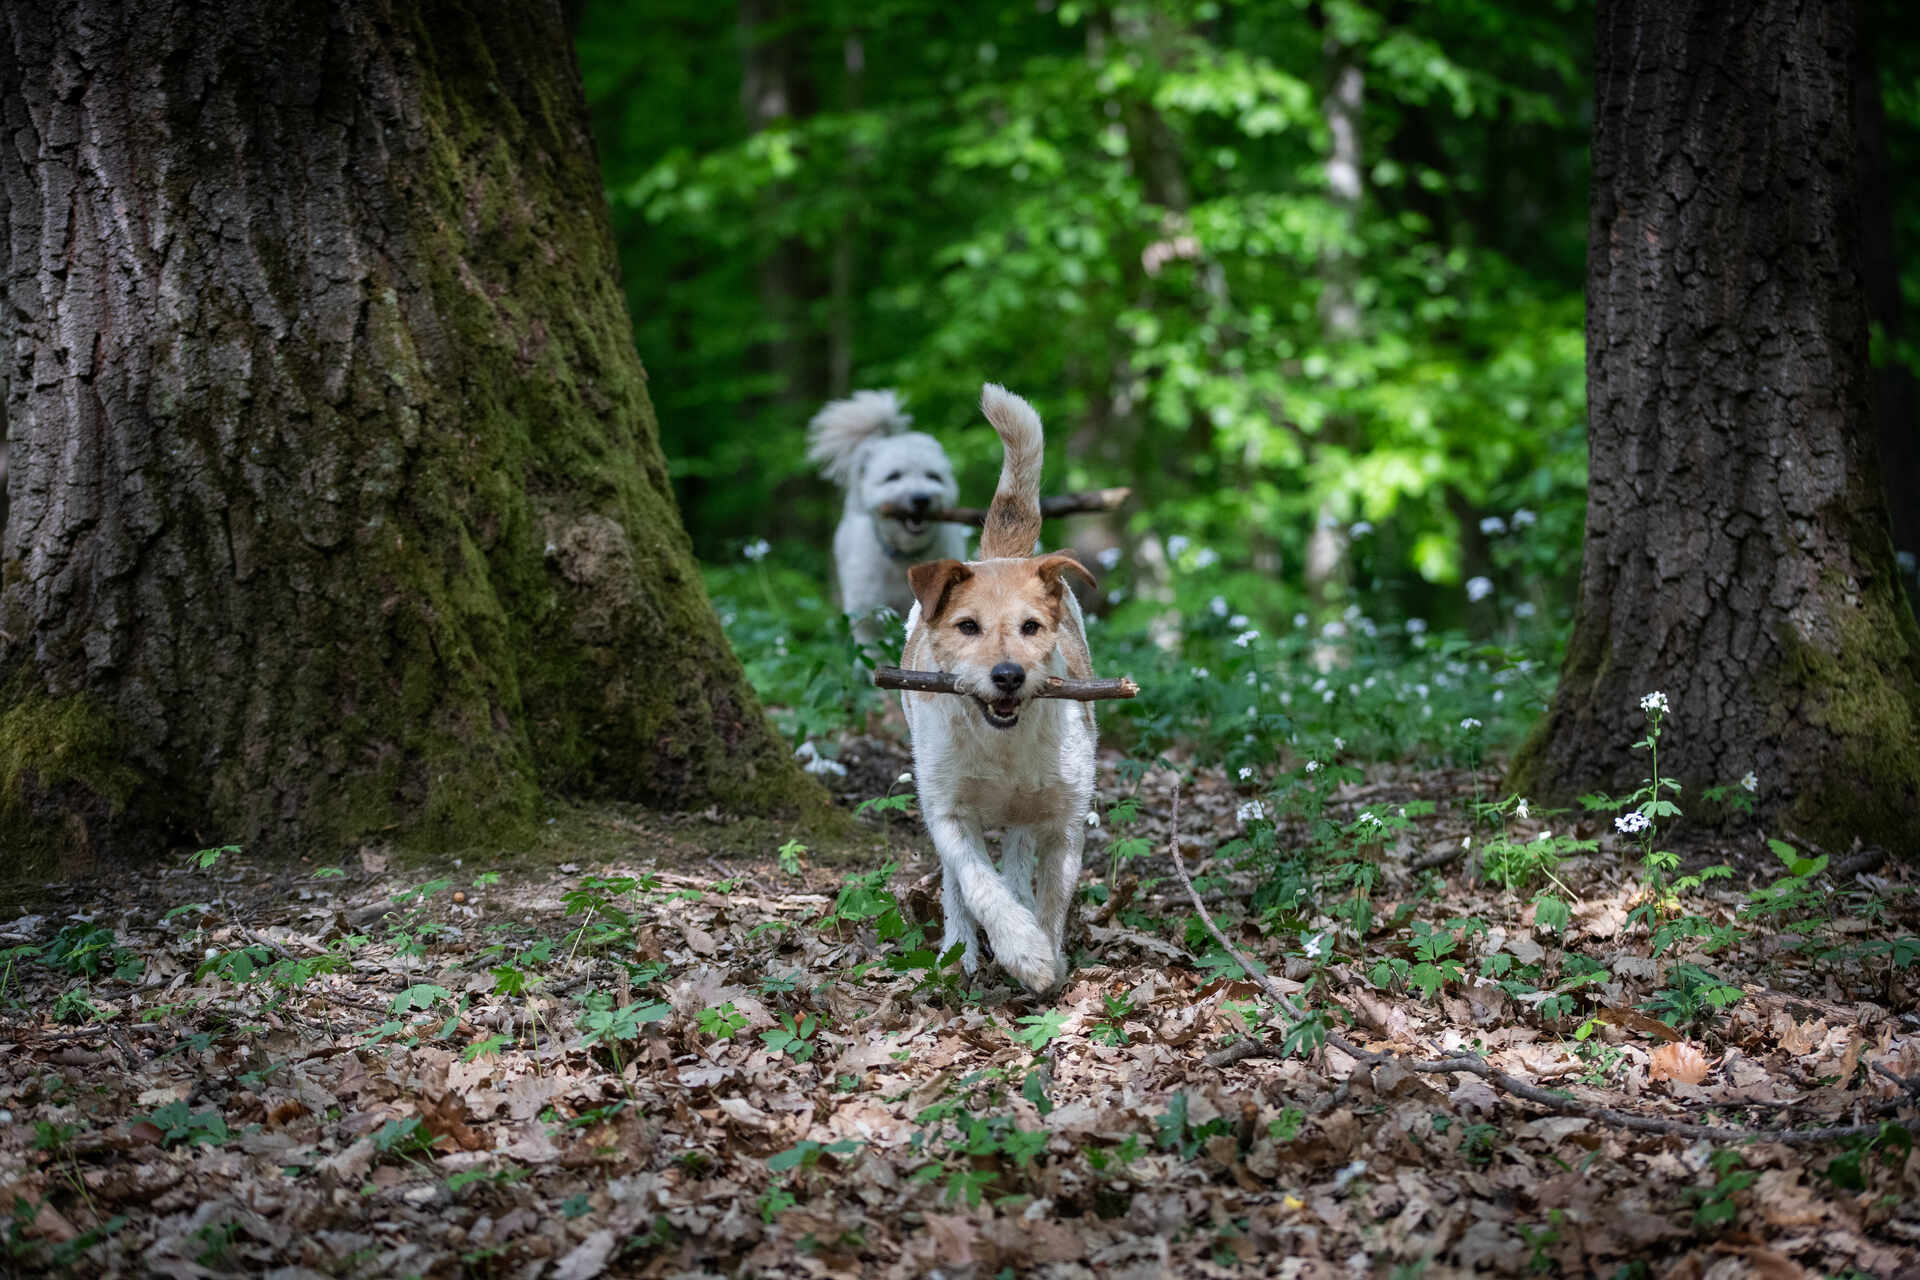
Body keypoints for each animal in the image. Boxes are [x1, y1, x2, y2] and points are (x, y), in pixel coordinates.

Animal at [898, 385, 1098, 997]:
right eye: (967, 626)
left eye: (1031, 627)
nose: (1007, 675)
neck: (1004, 745)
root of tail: (999, 554)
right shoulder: (948, 815)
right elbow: (978, 885)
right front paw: (1022, 951)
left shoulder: (1063, 821)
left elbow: (1052, 897)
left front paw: (1047, 958)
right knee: (961, 886)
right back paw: (957, 951)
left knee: (1016, 857)